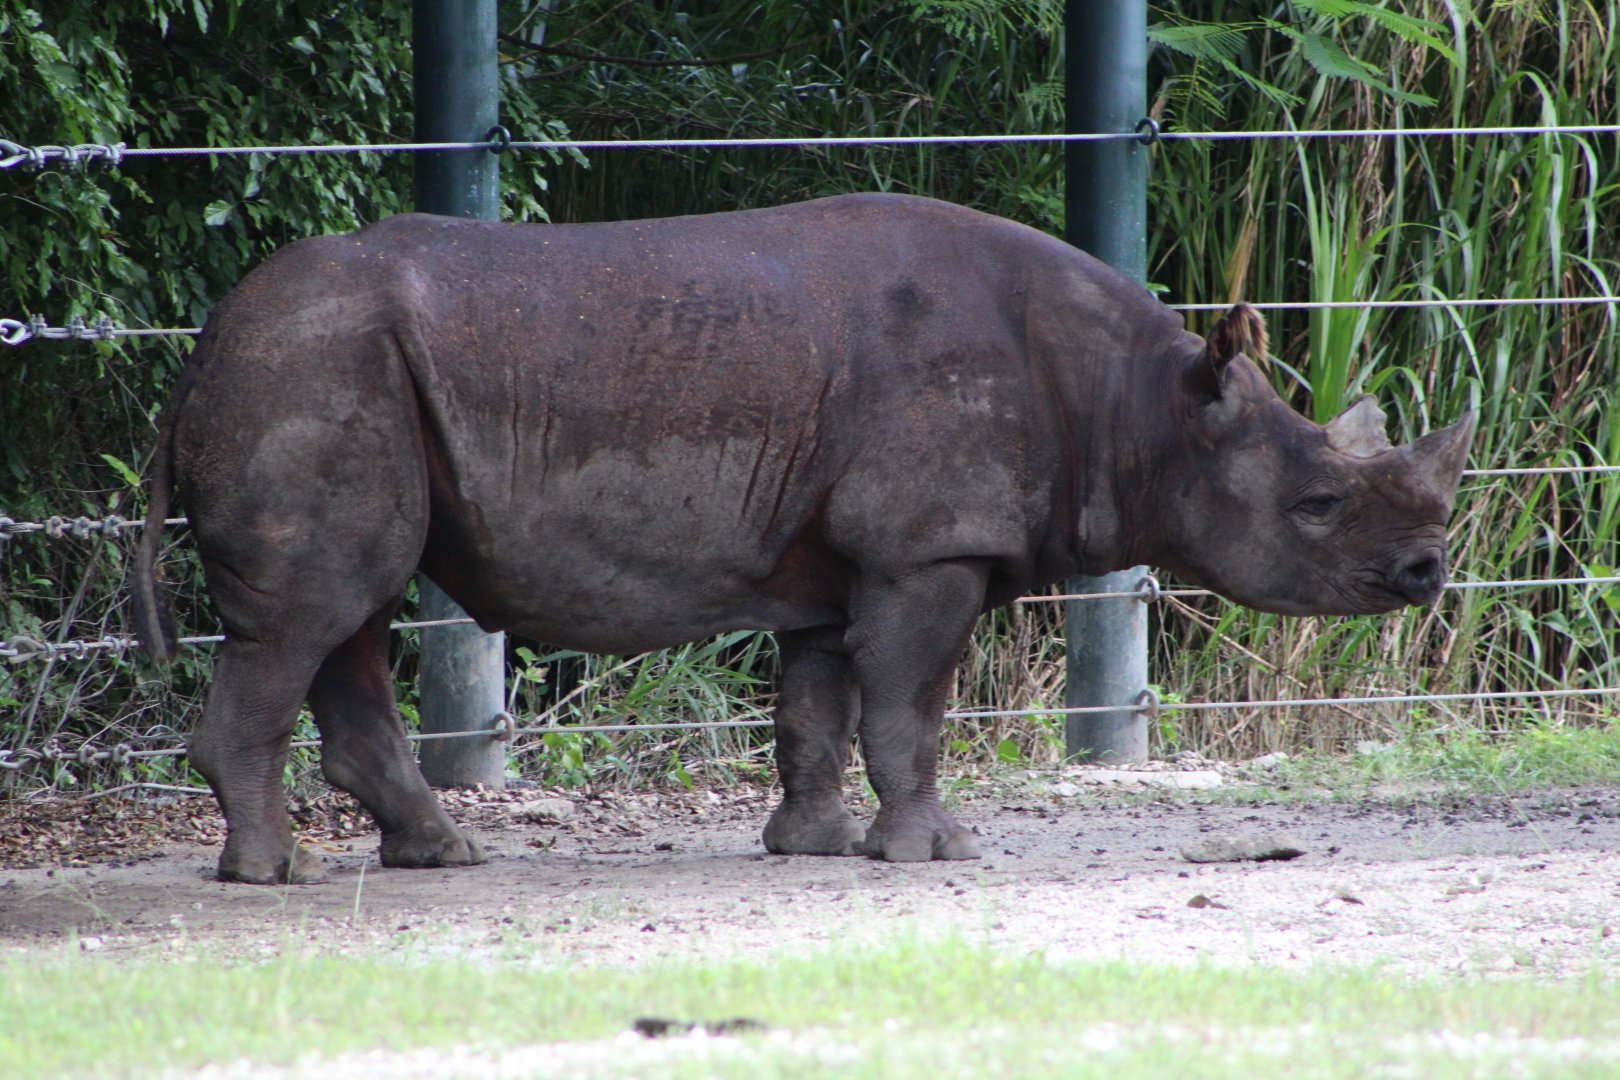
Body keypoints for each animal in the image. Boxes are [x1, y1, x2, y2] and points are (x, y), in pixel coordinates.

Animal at [132, 193, 1475, 884]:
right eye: (1315, 507)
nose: (1425, 574)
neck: (1140, 404)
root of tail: (202, 344)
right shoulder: (928, 546)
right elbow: (910, 707)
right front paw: (934, 852)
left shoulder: (845, 560)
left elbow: (820, 705)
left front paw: (813, 845)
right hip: (313, 367)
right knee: (314, 611)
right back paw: (279, 876)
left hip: (324, 368)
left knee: (347, 613)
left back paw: (441, 855)